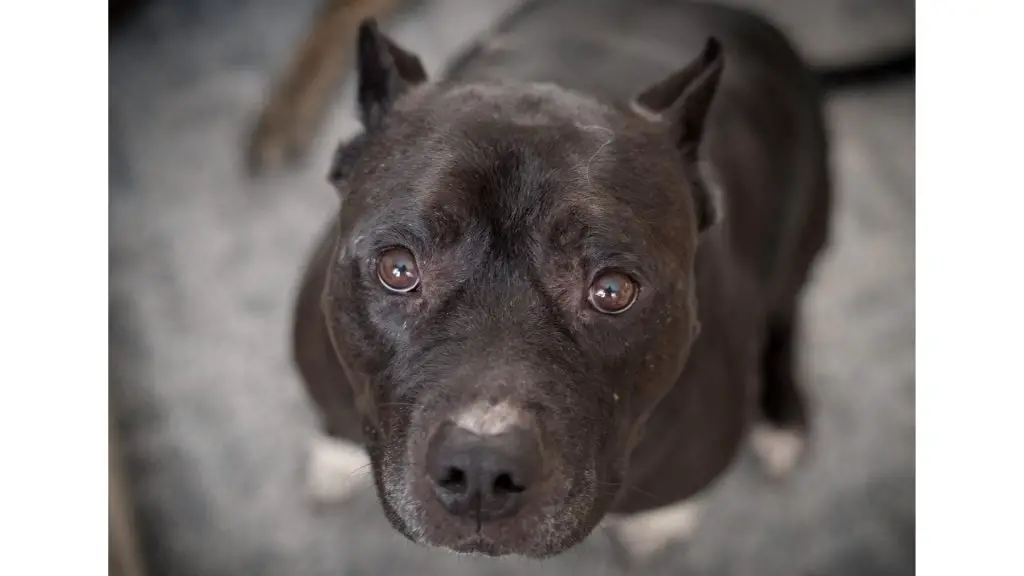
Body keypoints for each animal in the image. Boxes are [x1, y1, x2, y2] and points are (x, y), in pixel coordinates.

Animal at [288, 0, 913, 557]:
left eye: (612, 291)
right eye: (398, 268)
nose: (481, 468)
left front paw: (656, 525)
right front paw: (336, 451)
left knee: (786, 317)